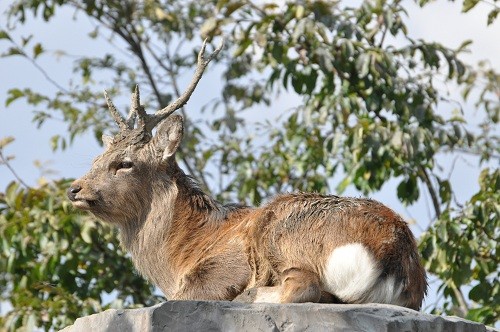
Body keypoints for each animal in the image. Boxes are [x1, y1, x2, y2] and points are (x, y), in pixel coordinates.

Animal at [65, 40, 426, 310]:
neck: (179, 254)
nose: (74, 189)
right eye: (97, 158)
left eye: (124, 163)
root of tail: (394, 253)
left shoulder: (218, 272)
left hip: (286, 230)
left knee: (303, 287)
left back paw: (252, 296)